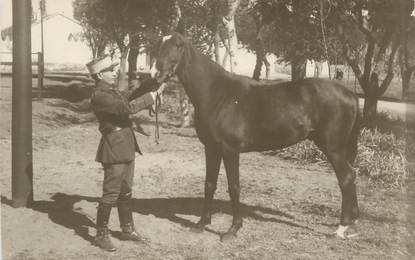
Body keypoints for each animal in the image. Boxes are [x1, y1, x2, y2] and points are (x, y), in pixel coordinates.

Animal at [150, 33, 360, 242]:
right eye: (158, 45)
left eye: (177, 46)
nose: (155, 74)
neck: (217, 93)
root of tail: (349, 93)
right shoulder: (211, 148)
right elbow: (209, 184)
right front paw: (202, 223)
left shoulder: (230, 150)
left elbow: (234, 187)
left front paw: (233, 229)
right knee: (352, 175)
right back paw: (353, 221)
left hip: (333, 149)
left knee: (346, 178)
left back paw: (341, 228)